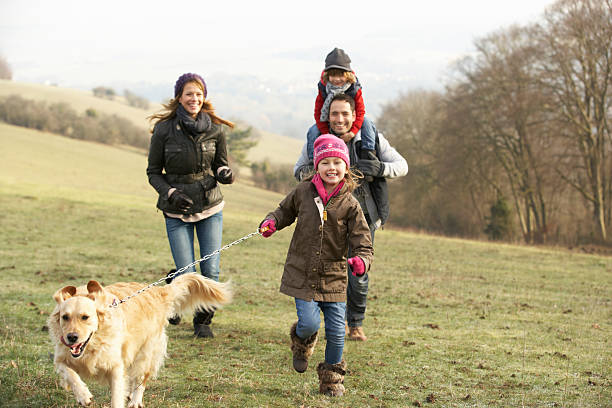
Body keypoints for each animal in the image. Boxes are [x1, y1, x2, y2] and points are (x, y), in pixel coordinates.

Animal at [47, 270, 232, 408]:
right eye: (65, 317)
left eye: (85, 317)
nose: (72, 337)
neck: (93, 344)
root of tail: (158, 291)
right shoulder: (61, 357)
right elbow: (70, 373)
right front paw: (83, 395)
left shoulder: (115, 366)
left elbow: (116, 396)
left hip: (146, 353)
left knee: (140, 379)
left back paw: (135, 400)